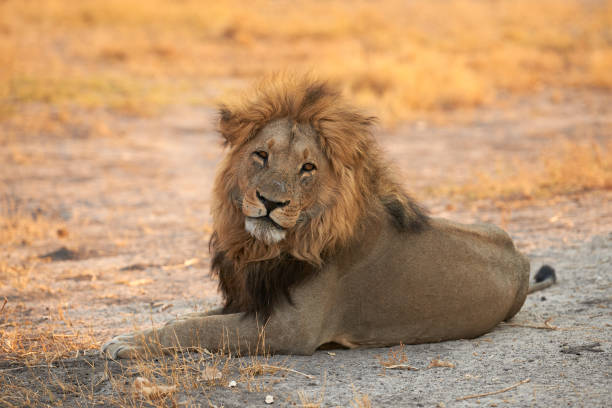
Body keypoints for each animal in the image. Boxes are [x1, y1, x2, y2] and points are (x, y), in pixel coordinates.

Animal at [104, 75, 556, 358]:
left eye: (308, 168)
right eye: (261, 155)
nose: (270, 202)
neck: (263, 249)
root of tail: (521, 258)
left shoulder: (291, 328)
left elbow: (197, 328)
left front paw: (126, 345)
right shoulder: (251, 300)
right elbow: (189, 317)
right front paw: (127, 335)